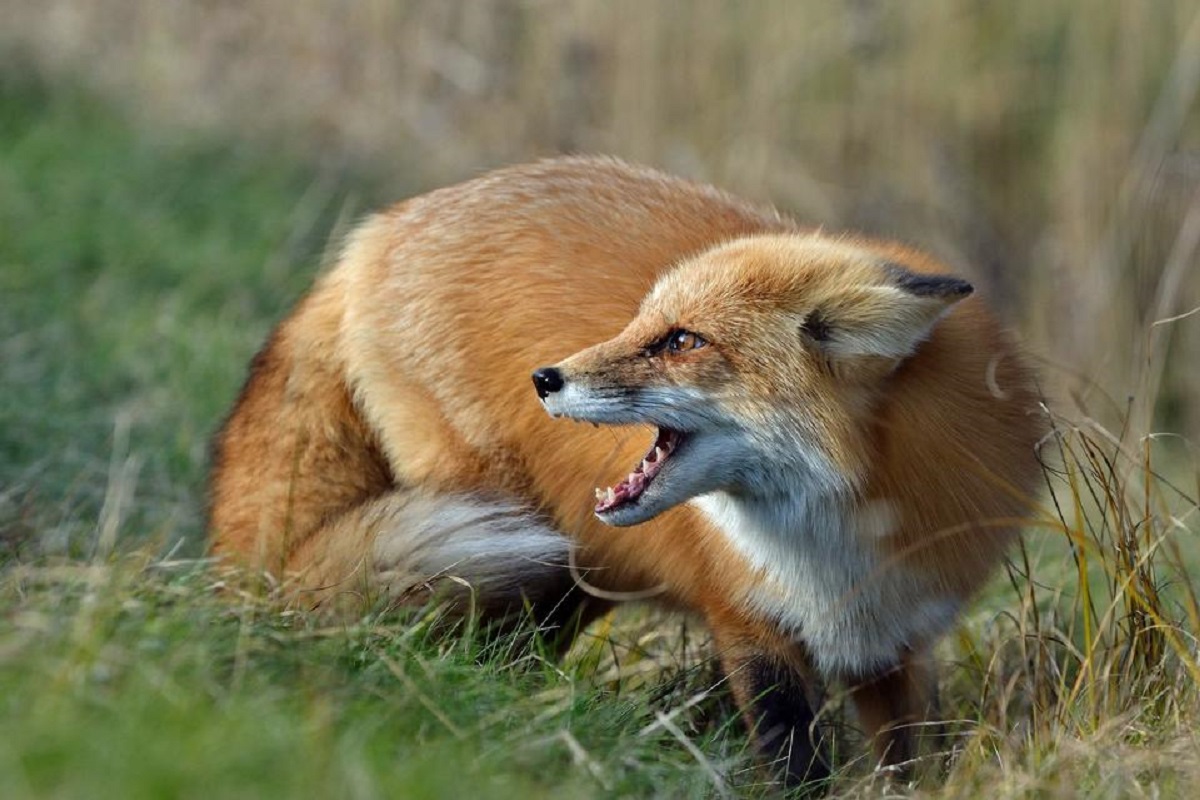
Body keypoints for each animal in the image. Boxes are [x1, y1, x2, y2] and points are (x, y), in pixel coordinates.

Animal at [211, 155, 1046, 786]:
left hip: (567, 560)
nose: (544, 378)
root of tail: (374, 234)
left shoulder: (896, 641)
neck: (833, 541)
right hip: (510, 529)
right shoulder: (748, 619)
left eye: (681, 340)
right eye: (641, 324)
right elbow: (790, 757)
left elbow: (911, 760)